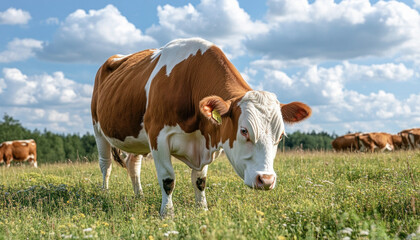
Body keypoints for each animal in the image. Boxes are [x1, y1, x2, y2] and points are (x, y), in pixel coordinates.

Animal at [91, 38, 312, 218]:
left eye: (281, 136)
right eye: (244, 131)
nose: (266, 180)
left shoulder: (204, 138)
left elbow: (200, 180)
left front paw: (202, 209)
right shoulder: (157, 136)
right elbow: (168, 180)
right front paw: (167, 214)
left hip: (135, 137)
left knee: (133, 164)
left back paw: (139, 196)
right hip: (98, 129)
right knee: (105, 164)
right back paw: (104, 193)